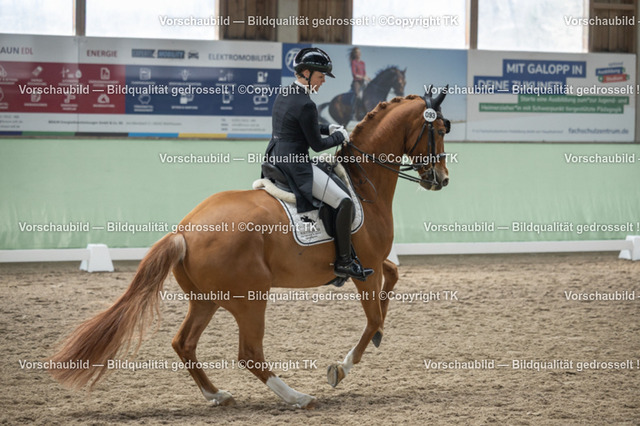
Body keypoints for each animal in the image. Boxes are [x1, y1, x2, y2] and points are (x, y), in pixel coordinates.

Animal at [47, 87, 451, 409]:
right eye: (439, 130)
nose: (441, 179)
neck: (364, 184)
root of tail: (184, 231)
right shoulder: (364, 267)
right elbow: (374, 319)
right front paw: (340, 368)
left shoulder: (373, 264)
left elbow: (391, 283)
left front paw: (376, 338)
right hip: (251, 298)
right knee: (249, 353)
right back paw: (297, 397)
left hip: (206, 299)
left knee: (184, 343)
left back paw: (217, 395)